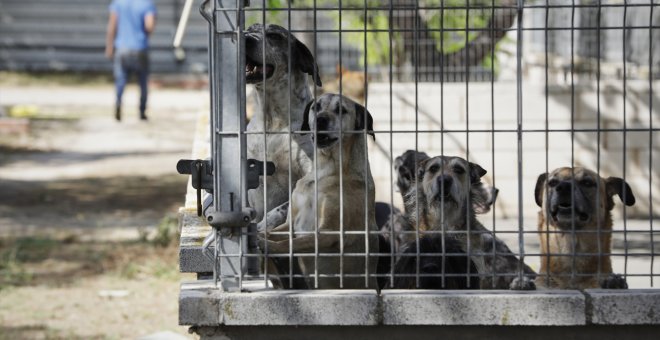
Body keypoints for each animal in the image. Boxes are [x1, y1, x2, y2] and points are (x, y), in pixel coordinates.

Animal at [260, 93, 378, 290]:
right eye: (316, 107)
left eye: (341, 110)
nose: (321, 119)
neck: (325, 171)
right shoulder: (290, 224)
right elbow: (273, 232)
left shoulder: (328, 232)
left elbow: (291, 243)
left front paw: (268, 246)